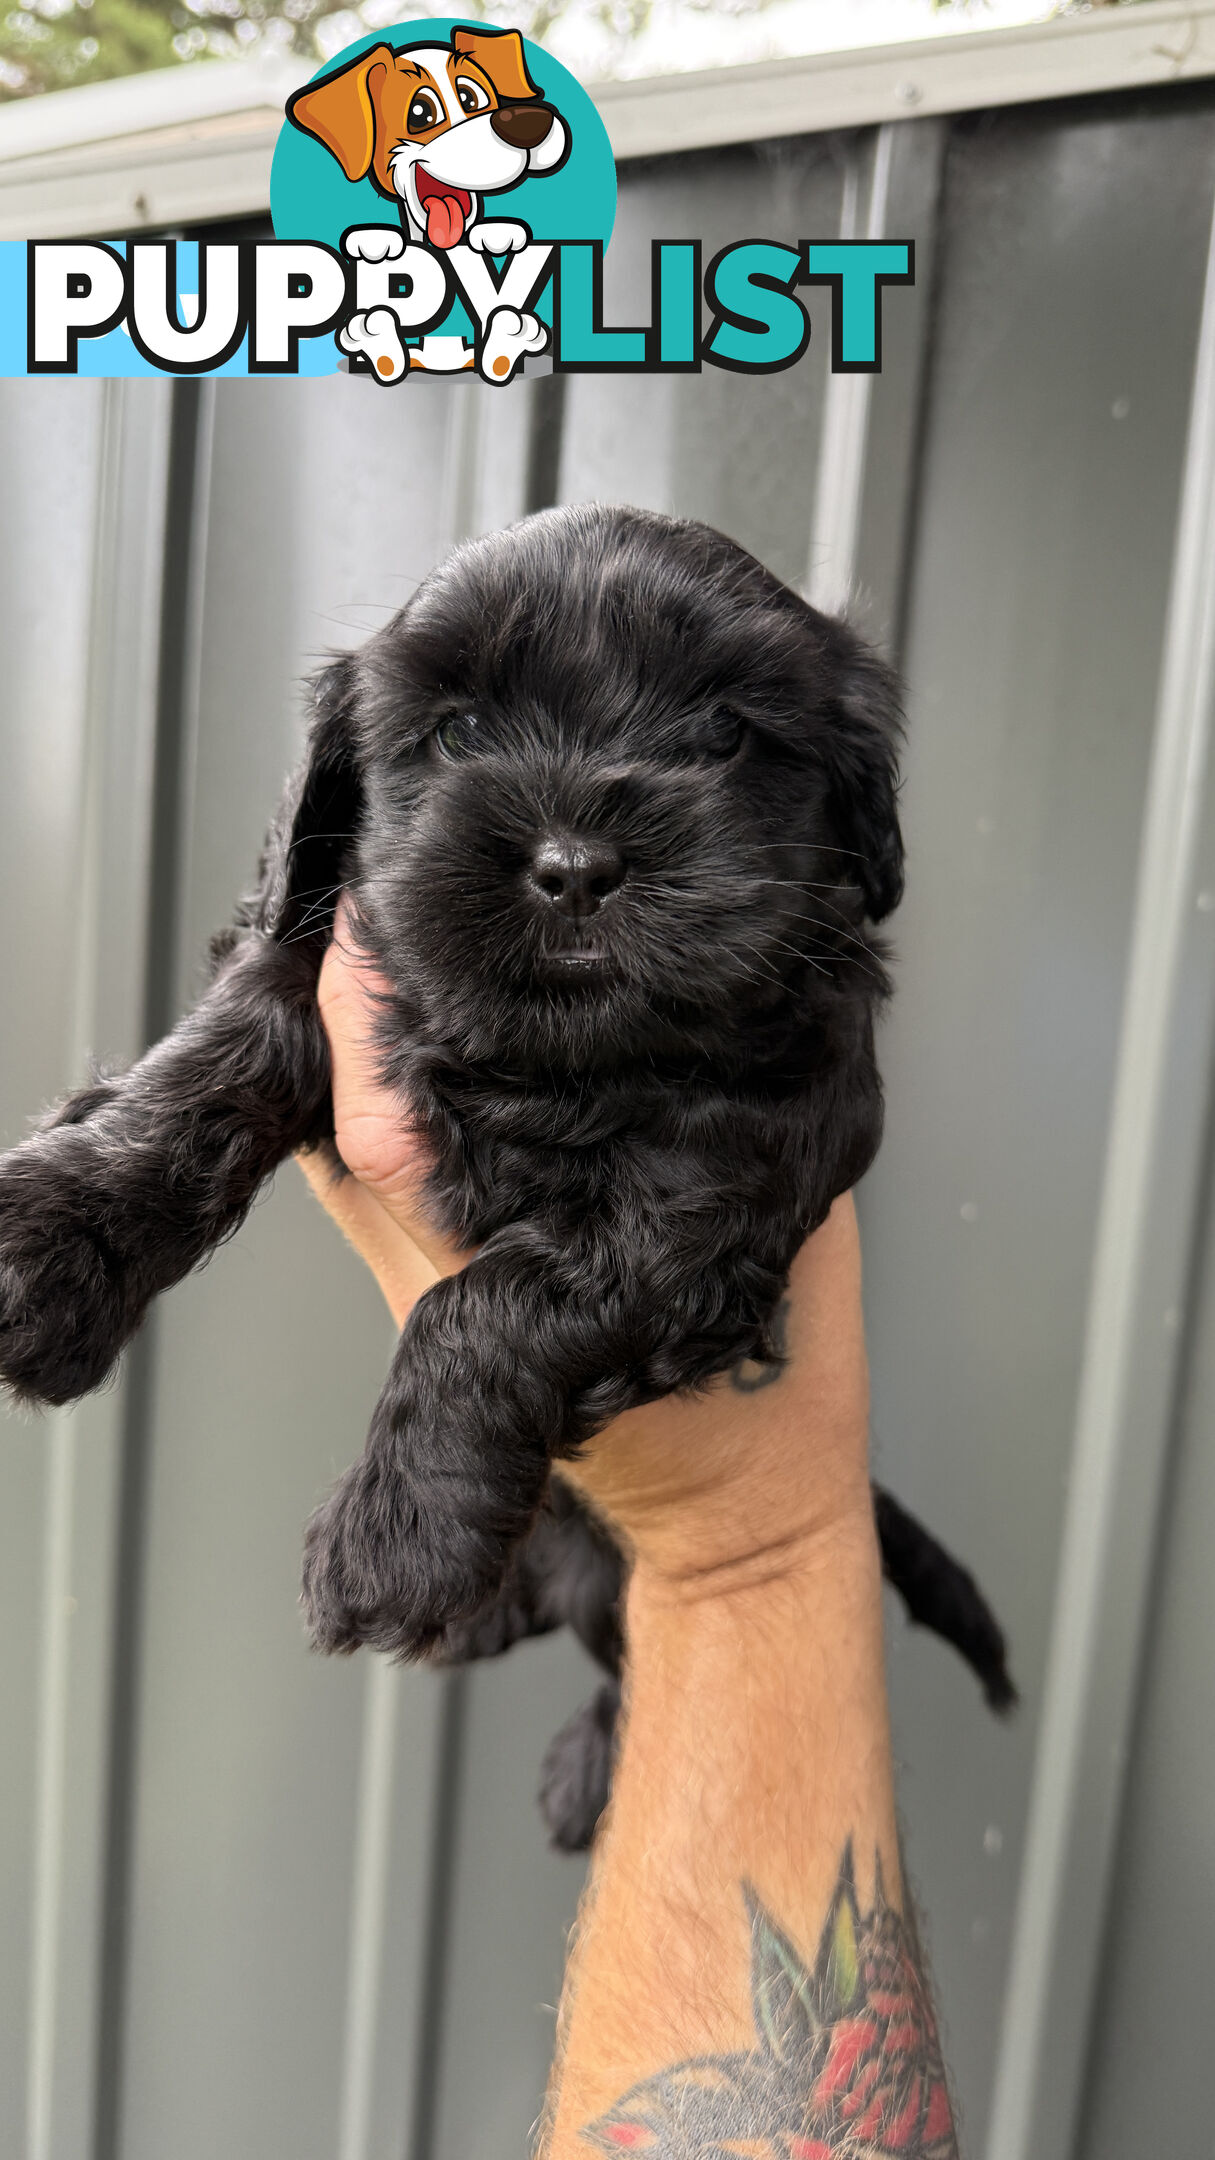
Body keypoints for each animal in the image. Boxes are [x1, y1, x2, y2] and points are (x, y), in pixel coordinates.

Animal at [0, 509, 1007, 1840]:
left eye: (723, 734)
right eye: (460, 733)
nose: (575, 864)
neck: (552, 1064)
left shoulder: (718, 1186)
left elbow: (496, 1300)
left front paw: (401, 1537)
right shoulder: (320, 941)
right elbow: (215, 1058)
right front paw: (50, 1239)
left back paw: (575, 1753)